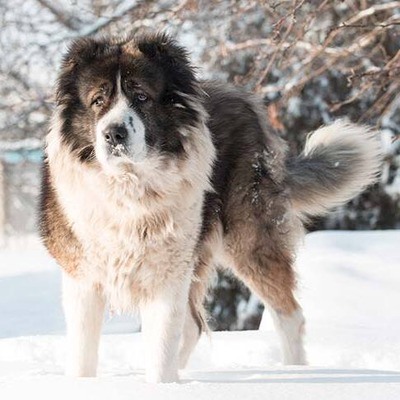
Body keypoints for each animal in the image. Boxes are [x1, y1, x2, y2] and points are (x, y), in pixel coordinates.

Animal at [39, 32, 382, 382]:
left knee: (288, 314)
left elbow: (162, 345)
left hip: (249, 240)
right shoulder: (83, 276)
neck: (129, 189)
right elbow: (83, 353)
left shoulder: (170, 271)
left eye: (142, 97)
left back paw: (297, 371)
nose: (113, 133)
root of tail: (245, 101)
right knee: (193, 326)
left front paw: (162, 385)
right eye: (98, 100)